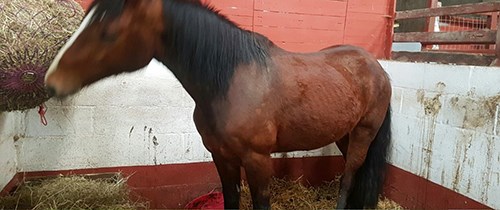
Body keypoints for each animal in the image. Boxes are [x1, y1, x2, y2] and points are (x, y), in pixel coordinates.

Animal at [45, 0, 392, 209]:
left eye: (108, 33)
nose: (52, 82)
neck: (229, 82)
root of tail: (376, 65)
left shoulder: (257, 160)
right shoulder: (222, 157)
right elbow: (230, 199)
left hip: (363, 133)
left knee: (348, 177)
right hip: (344, 135)